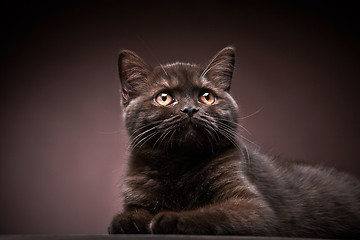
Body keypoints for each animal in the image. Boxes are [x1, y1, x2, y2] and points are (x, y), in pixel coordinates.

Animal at [108, 47, 360, 238]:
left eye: (206, 97)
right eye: (164, 98)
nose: (190, 109)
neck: (179, 163)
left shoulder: (253, 208)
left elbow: (212, 212)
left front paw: (172, 217)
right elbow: (130, 213)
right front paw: (130, 220)